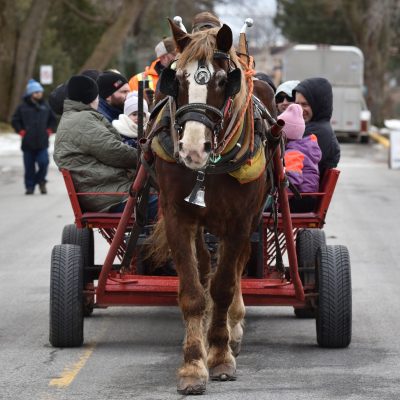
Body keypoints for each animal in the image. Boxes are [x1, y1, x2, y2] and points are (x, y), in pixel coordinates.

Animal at [148, 21, 276, 394]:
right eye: (176, 80)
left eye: (222, 81)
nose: (193, 148)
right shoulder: (178, 217)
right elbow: (194, 291)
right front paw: (193, 363)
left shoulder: (239, 223)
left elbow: (223, 287)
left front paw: (220, 356)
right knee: (205, 265)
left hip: (250, 220)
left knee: (236, 268)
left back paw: (233, 327)